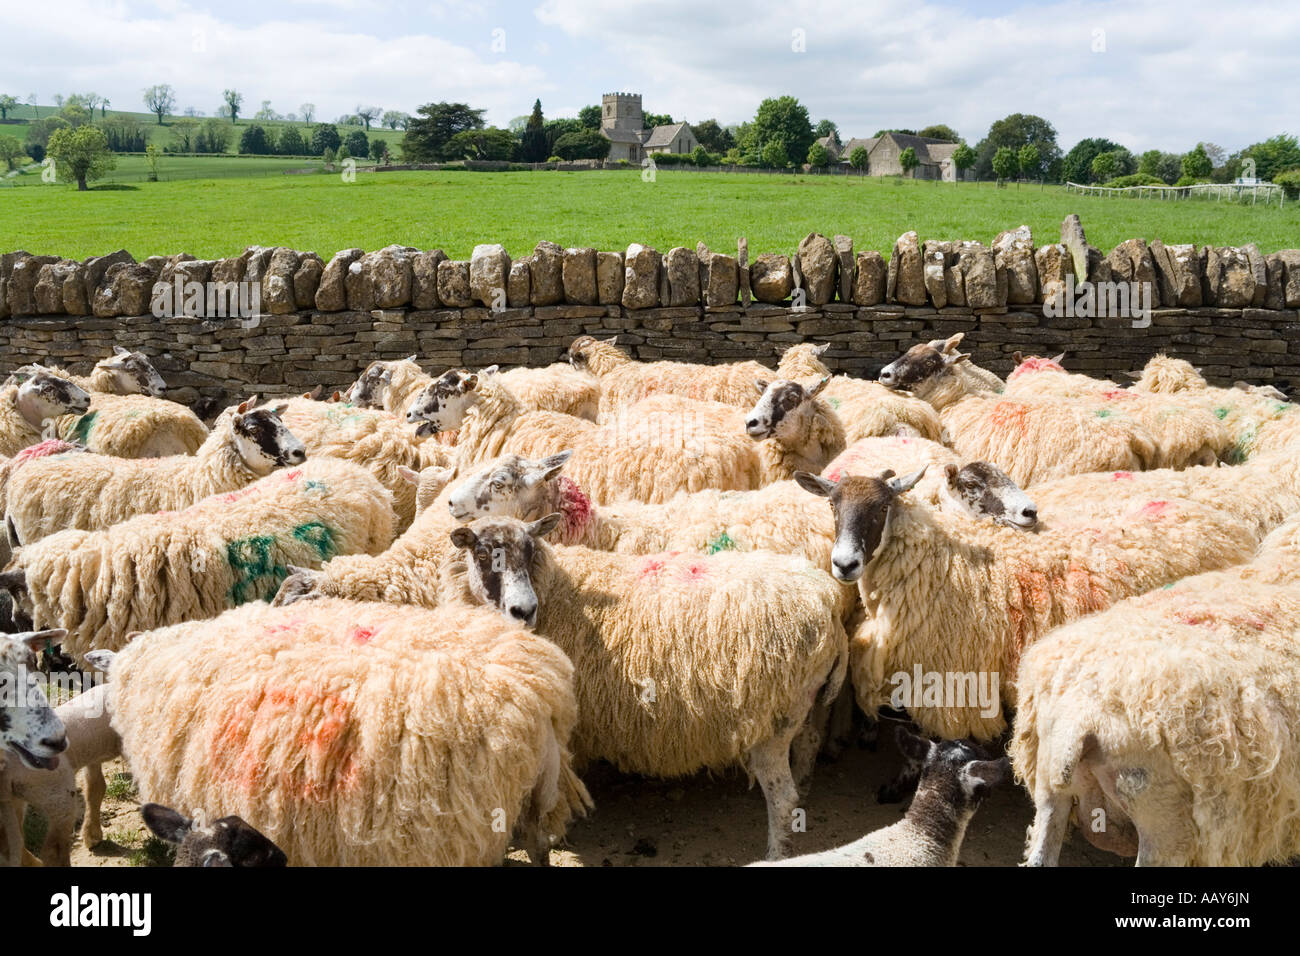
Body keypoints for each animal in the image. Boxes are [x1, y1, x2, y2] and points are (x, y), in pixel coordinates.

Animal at [442, 513, 849, 859]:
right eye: (481, 553)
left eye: (530, 550)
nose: (524, 610)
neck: (555, 589)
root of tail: (829, 605)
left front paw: (552, 835)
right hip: (805, 705)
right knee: (808, 745)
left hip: (771, 724)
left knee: (782, 798)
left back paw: (776, 853)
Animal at [793, 466, 1262, 742]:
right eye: (833, 506)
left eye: (881, 507)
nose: (844, 563)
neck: (937, 559)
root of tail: (1223, 523)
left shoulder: (953, 688)